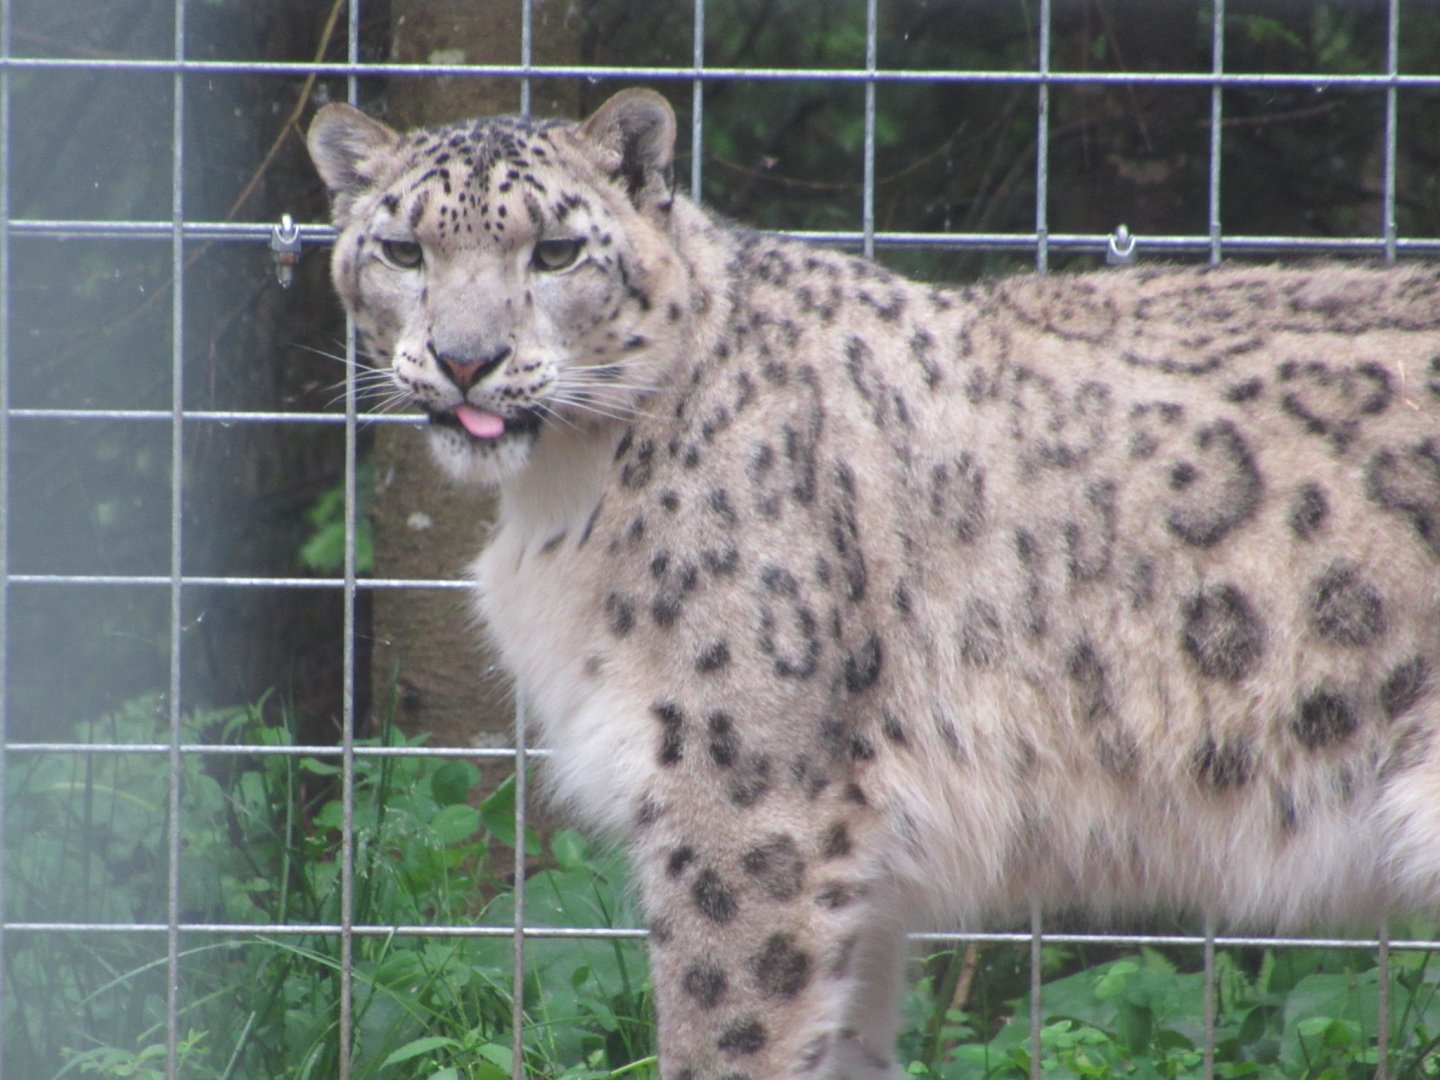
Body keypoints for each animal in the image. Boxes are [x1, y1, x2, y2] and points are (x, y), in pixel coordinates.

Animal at [307, 88, 1440, 1079]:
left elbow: (725, 1039)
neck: (557, 501)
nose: (465, 359)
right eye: (402, 250)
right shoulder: (853, 874)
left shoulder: (743, 811)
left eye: (554, 251)